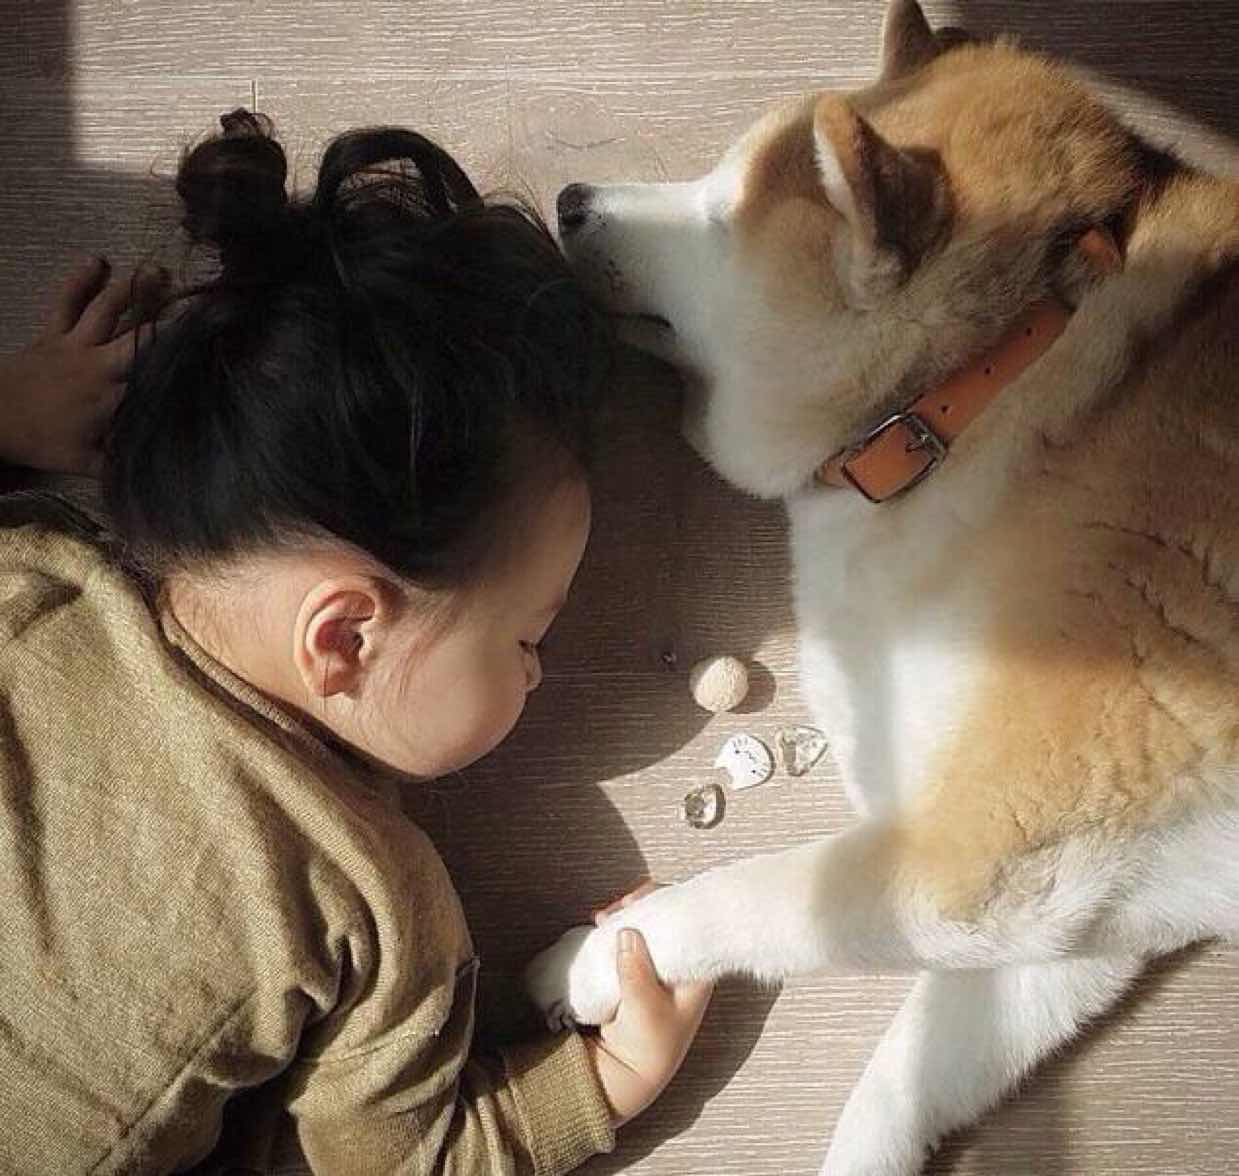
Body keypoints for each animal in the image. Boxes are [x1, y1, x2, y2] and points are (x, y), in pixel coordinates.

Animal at [526, 2, 1239, 1171]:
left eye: (720, 213)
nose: (572, 199)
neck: (987, 377)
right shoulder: (1069, 914)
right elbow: (902, 1085)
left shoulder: (970, 857)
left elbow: (745, 898)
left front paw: (596, 957)